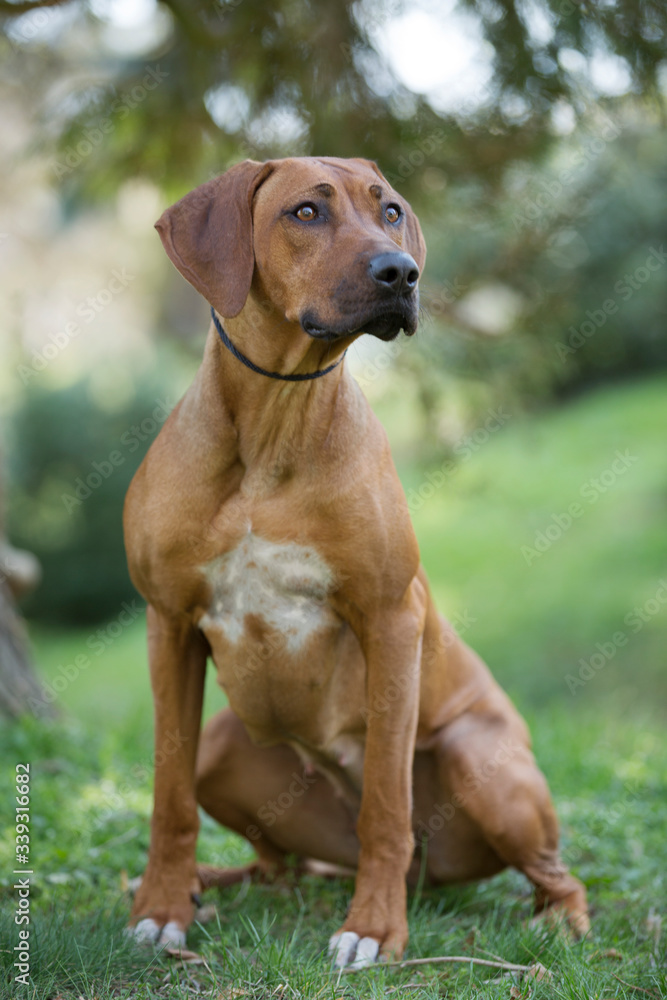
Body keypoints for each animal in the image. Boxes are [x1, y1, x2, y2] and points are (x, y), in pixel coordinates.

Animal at [125, 156, 588, 968]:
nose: (400, 271)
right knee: (274, 863)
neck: (273, 429)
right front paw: (162, 906)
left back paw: (552, 920)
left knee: (556, 873)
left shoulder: (389, 620)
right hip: (228, 747)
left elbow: (384, 803)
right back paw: (213, 884)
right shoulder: (169, 624)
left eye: (391, 210)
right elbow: (168, 795)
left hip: (480, 758)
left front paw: (373, 928)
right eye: (305, 212)